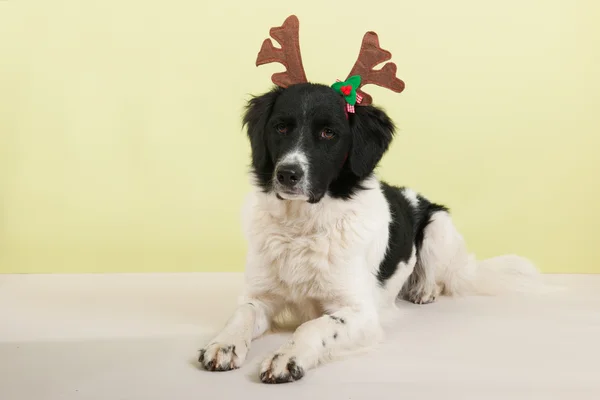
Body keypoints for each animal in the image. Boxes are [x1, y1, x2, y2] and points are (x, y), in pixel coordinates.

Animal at [199, 82, 540, 384]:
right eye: (281, 128)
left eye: (328, 133)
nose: (287, 174)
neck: (302, 226)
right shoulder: (259, 296)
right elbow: (240, 315)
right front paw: (223, 344)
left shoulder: (361, 313)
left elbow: (314, 327)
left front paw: (287, 357)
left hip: (437, 225)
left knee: (436, 274)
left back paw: (423, 290)